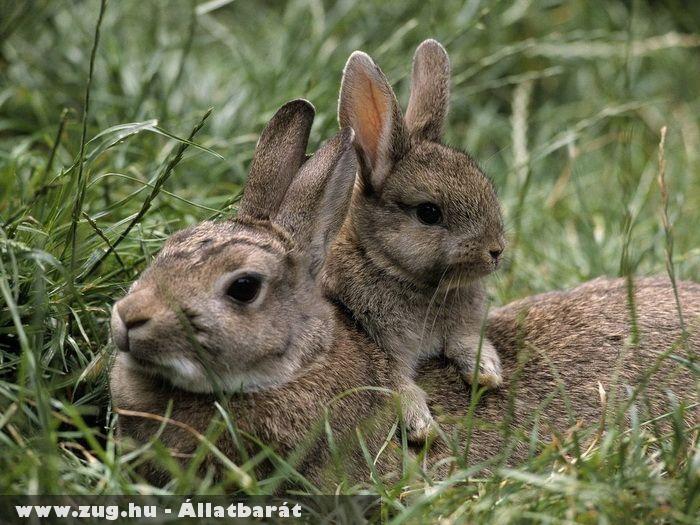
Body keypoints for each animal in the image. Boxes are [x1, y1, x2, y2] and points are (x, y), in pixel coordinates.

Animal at [322, 41, 504, 440]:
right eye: (429, 213)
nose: (496, 251)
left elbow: (465, 340)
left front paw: (487, 372)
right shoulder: (379, 344)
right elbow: (395, 382)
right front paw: (422, 426)